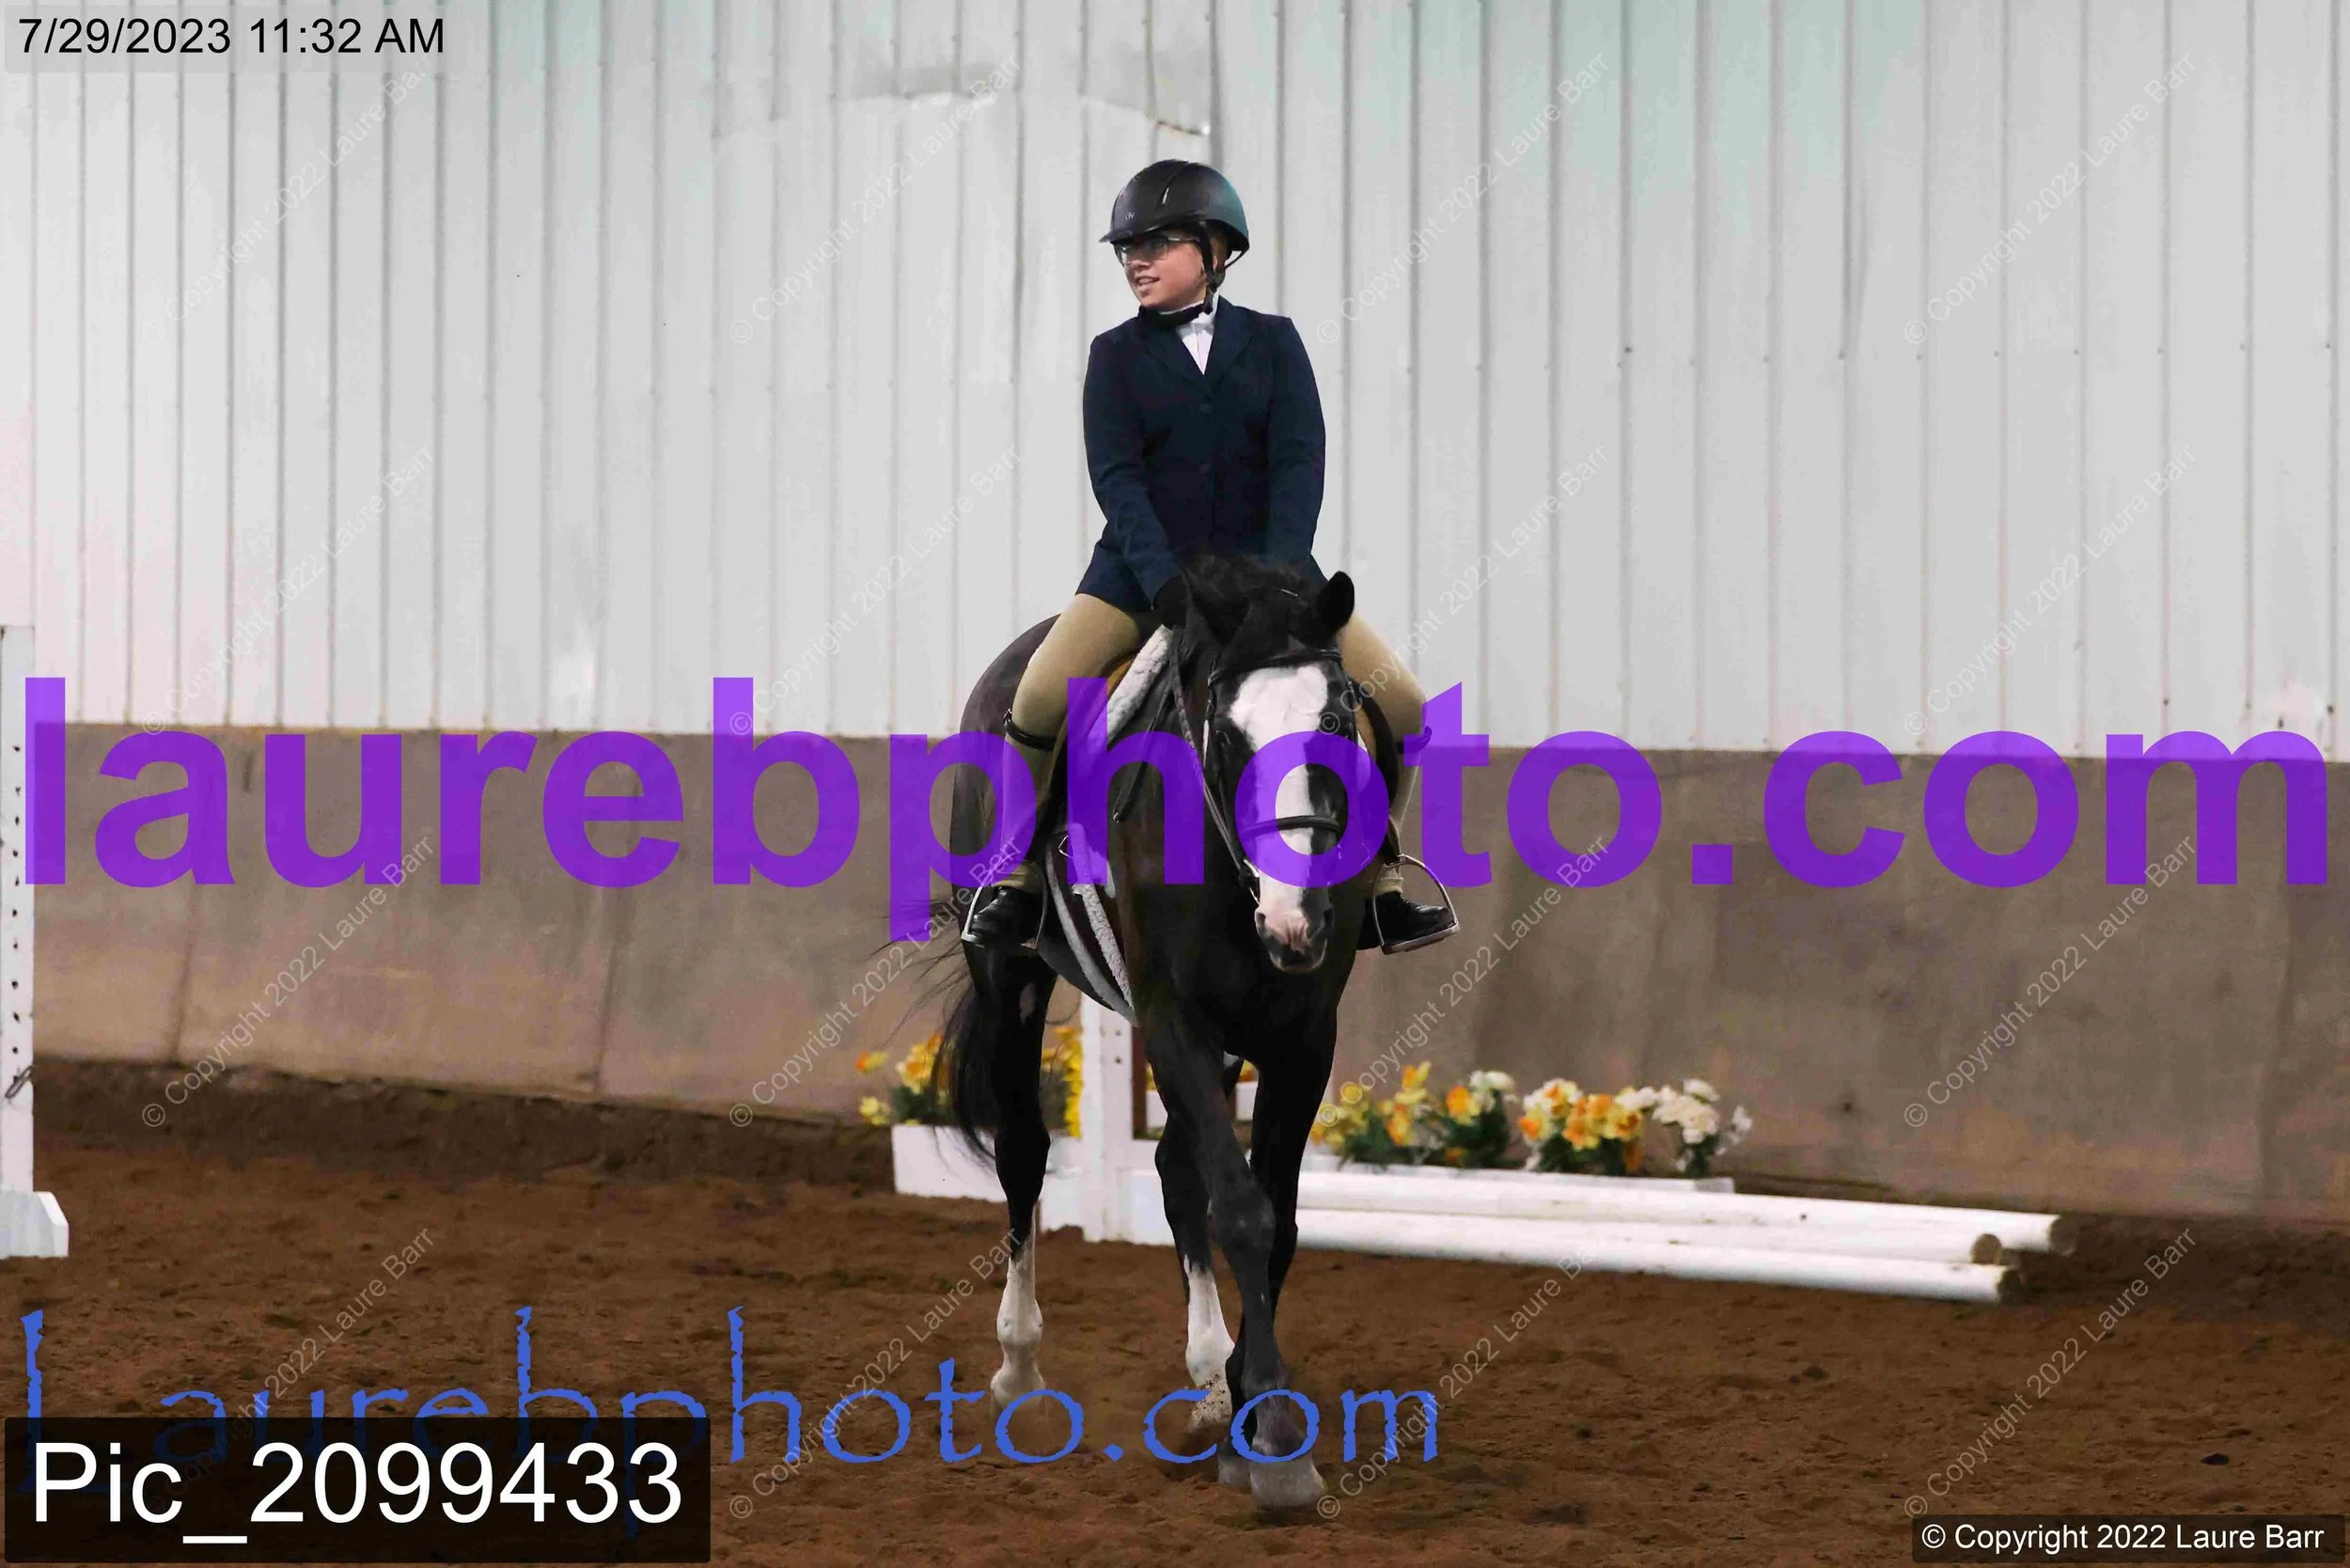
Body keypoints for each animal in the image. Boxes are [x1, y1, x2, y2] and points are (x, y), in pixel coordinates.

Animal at [933, 555, 1384, 1512]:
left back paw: (1208, 1380)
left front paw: (1248, 1410)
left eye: (1335, 719)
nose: (1296, 924)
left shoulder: (1302, 1038)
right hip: (1010, 977)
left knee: (1178, 1171)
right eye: (1228, 733)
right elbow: (1244, 1213)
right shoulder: (1173, 1016)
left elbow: (1277, 1218)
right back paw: (1020, 1374)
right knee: (1024, 1152)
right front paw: (1276, 1439)